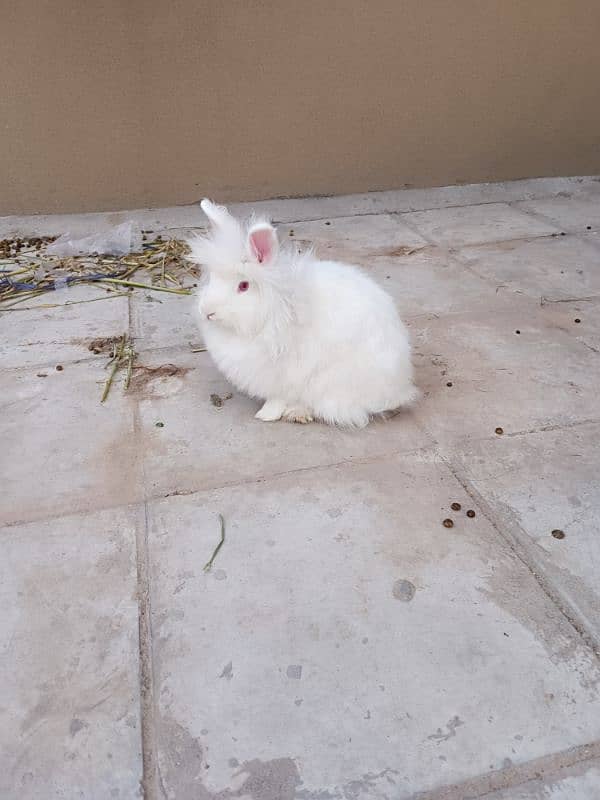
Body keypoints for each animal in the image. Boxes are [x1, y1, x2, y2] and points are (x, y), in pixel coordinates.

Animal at [190, 198, 420, 428]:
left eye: (244, 286)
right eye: (212, 277)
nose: (207, 311)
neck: (275, 307)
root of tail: (399, 388)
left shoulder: (284, 374)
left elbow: (278, 398)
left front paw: (266, 415)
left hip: (332, 384)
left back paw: (297, 413)